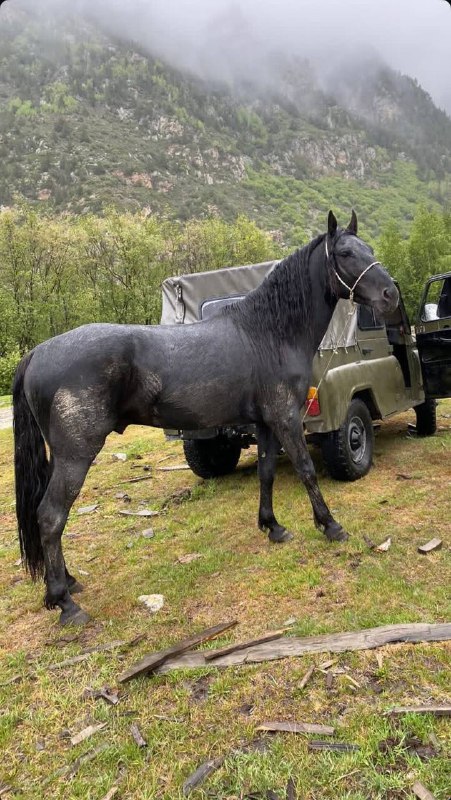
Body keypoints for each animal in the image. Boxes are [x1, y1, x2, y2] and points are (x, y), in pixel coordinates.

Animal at [13, 210, 398, 625]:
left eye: (368, 248)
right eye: (345, 253)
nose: (391, 294)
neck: (268, 334)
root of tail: (38, 352)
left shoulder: (265, 423)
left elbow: (266, 472)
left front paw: (273, 527)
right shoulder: (286, 418)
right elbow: (307, 470)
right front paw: (330, 526)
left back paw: (67, 584)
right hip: (76, 455)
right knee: (51, 515)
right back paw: (65, 602)